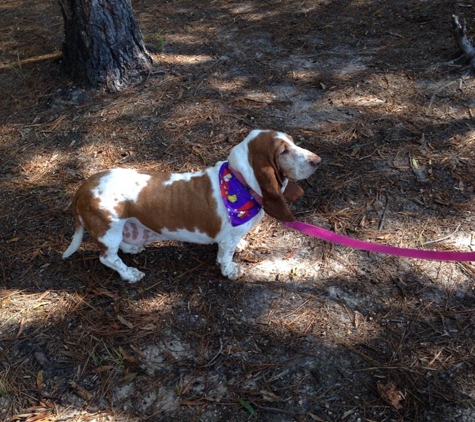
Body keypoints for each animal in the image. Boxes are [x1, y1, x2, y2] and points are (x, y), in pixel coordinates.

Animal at [63, 129, 322, 280]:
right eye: (283, 151)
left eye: (293, 142)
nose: (317, 160)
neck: (239, 182)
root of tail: (83, 189)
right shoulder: (226, 241)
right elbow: (225, 257)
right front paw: (231, 272)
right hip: (109, 230)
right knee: (107, 258)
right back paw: (130, 274)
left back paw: (132, 250)